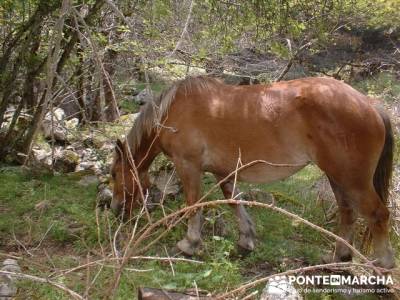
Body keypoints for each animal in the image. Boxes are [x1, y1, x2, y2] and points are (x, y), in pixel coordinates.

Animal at [109, 76, 394, 268]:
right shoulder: (223, 171)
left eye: (113, 174)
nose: (115, 210)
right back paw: (337, 257)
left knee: (377, 214)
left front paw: (190, 243)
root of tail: (369, 105)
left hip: (352, 179)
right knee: (347, 213)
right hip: (337, 177)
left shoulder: (187, 165)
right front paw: (246, 240)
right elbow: (233, 200)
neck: (171, 113)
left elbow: (193, 204)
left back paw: (382, 264)